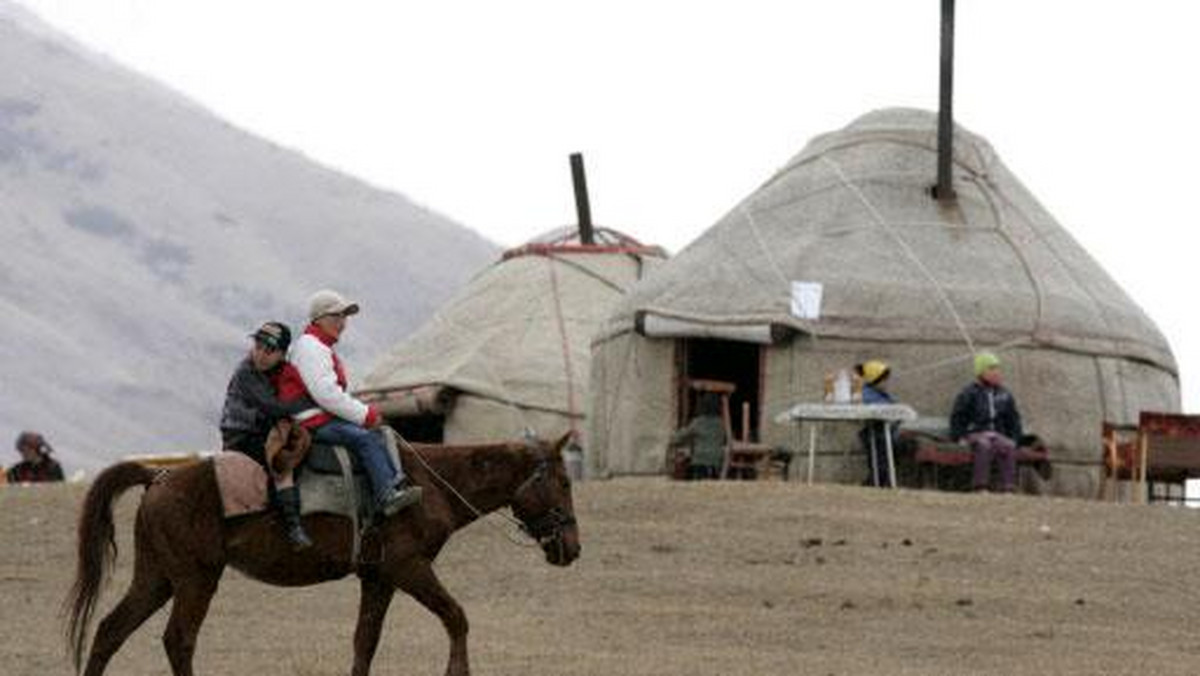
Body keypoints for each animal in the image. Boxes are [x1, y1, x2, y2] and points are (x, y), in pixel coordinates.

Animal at [65, 434, 580, 676]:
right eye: (565, 481)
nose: (572, 548)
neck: (427, 483)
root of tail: (158, 477)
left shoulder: (378, 577)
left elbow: (364, 641)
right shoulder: (409, 568)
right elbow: (456, 617)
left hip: (156, 578)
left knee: (110, 630)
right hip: (196, 579)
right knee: (179, 639)